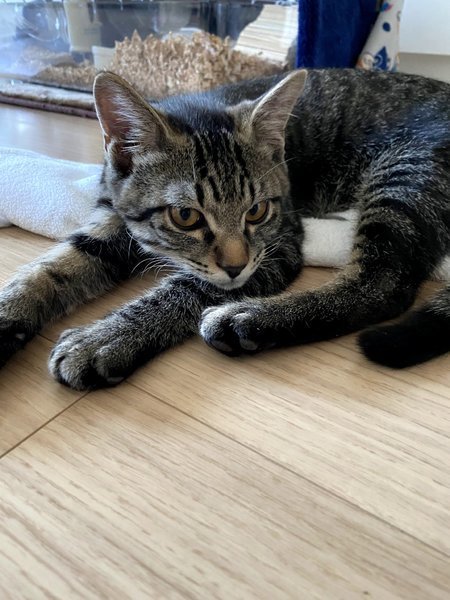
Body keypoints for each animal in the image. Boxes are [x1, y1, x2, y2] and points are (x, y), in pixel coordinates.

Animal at [0, 68, 449, 390]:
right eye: (186, 216)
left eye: (257, 211)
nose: (235, 266)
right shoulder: (111, 214)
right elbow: (57, 265)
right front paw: (11, 311)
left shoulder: (280, 244)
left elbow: (190, 287)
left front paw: (107, 337)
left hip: (404, 176)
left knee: (383, 284)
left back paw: (247, 319)